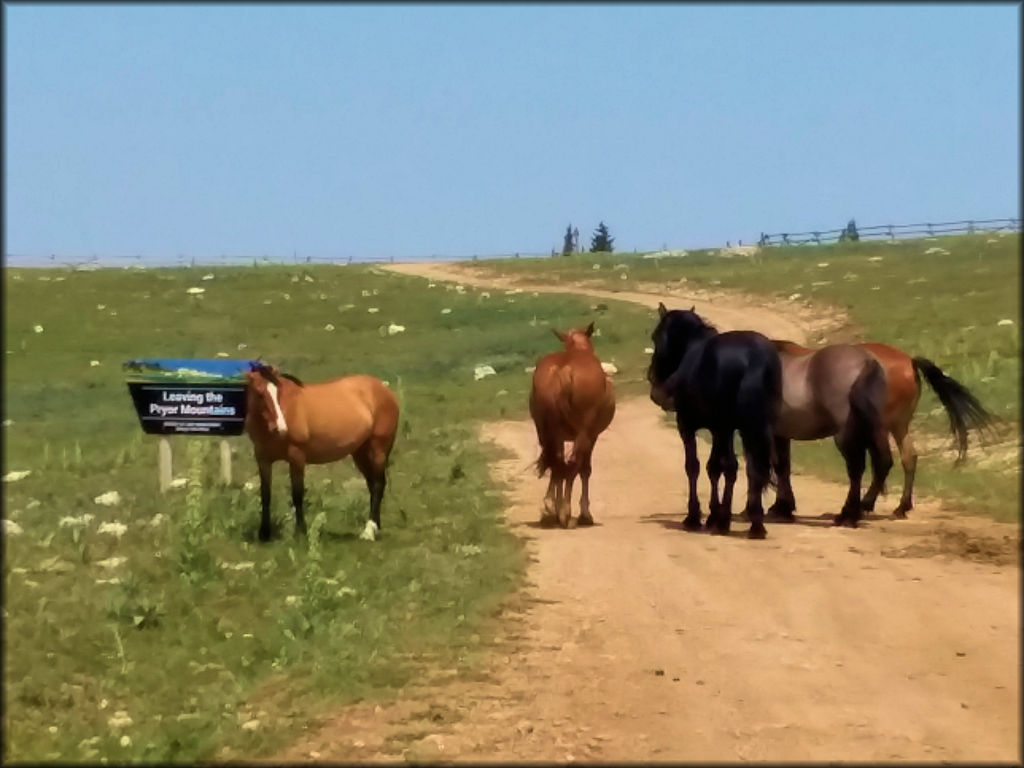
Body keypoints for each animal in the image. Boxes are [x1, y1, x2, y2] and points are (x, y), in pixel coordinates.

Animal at [241, 364, 397, 544]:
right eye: (259, 393)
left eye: (278, 392)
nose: (280, 428)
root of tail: (384, 389)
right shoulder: (263, 459)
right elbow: (265, 494)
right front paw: (264, 533)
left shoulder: (296, 457)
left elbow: (297, 494)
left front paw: (300, 531)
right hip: (361, 453)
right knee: (372, 485)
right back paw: (375, 526)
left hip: (378, 450)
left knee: (378, 485)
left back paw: (369, 531)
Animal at [528, 319, 614, 528]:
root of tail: (564, 371)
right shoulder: (592, 436)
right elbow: (585, 470)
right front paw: (585, 514)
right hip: (583, 433)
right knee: (572, 463)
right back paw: (565, 513)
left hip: (547, 432)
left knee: (557, 462)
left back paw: (553, 509)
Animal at [647, 303, 782, 536]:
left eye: (655, 336)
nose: (652, 377)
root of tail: (755, 359)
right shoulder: (721, 429)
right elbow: (715, 468)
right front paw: (712, 515)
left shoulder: (690, 426)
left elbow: (695, 466)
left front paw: (695, 517)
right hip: (753, 429)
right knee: (752, 468)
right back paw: (755, 523)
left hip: (727, 428)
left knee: (731, 466)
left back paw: (725, 520)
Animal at [765, 342, 892, 528]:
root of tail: (866, 362)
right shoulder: (781, 434)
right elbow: (784, 467)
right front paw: (784, 508)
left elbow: (777, 467)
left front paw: (780, 509)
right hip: (872, 429)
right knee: (883, 463)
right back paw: (863, 506)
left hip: (846, 436)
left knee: (856, 470)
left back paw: (848, 515)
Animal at [774, 342, 991, 518]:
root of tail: (909, 362)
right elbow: (783, 466)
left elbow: (779, 466)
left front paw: (781, 507)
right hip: (898, 426)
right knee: (907, 458)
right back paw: (900, 507)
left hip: (878, 429)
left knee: (880, 461)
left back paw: (862, 506)